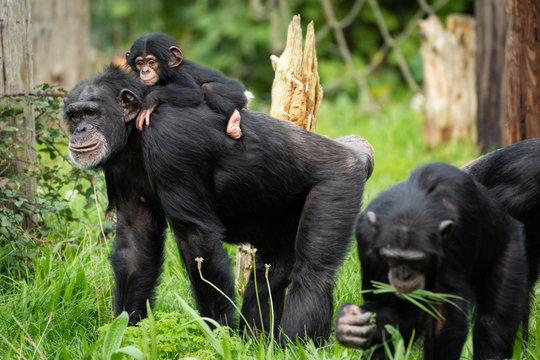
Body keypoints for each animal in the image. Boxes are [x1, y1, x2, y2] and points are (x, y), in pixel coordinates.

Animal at [64, 66, 376, 344]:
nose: (80, 129)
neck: (134, 135)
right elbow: (135, 243)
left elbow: (197, 244)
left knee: (313, 274)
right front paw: (125, 334)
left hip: (338, 182)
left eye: (92, 113)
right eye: (74, 115)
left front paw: (219, 335)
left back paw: (298, 345)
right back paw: (257, 340)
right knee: (268, 276)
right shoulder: (121, 171)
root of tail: (356, 152)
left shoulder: (170, 143)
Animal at [338, 163, 528, 360]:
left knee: (494, 320)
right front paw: (348, 323)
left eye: (417, 261)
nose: (403, 275)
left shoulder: (455, 233)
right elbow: (397, 311)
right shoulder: (366, 240)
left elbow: (444, 313)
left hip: (511, 244)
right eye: (391, 258)